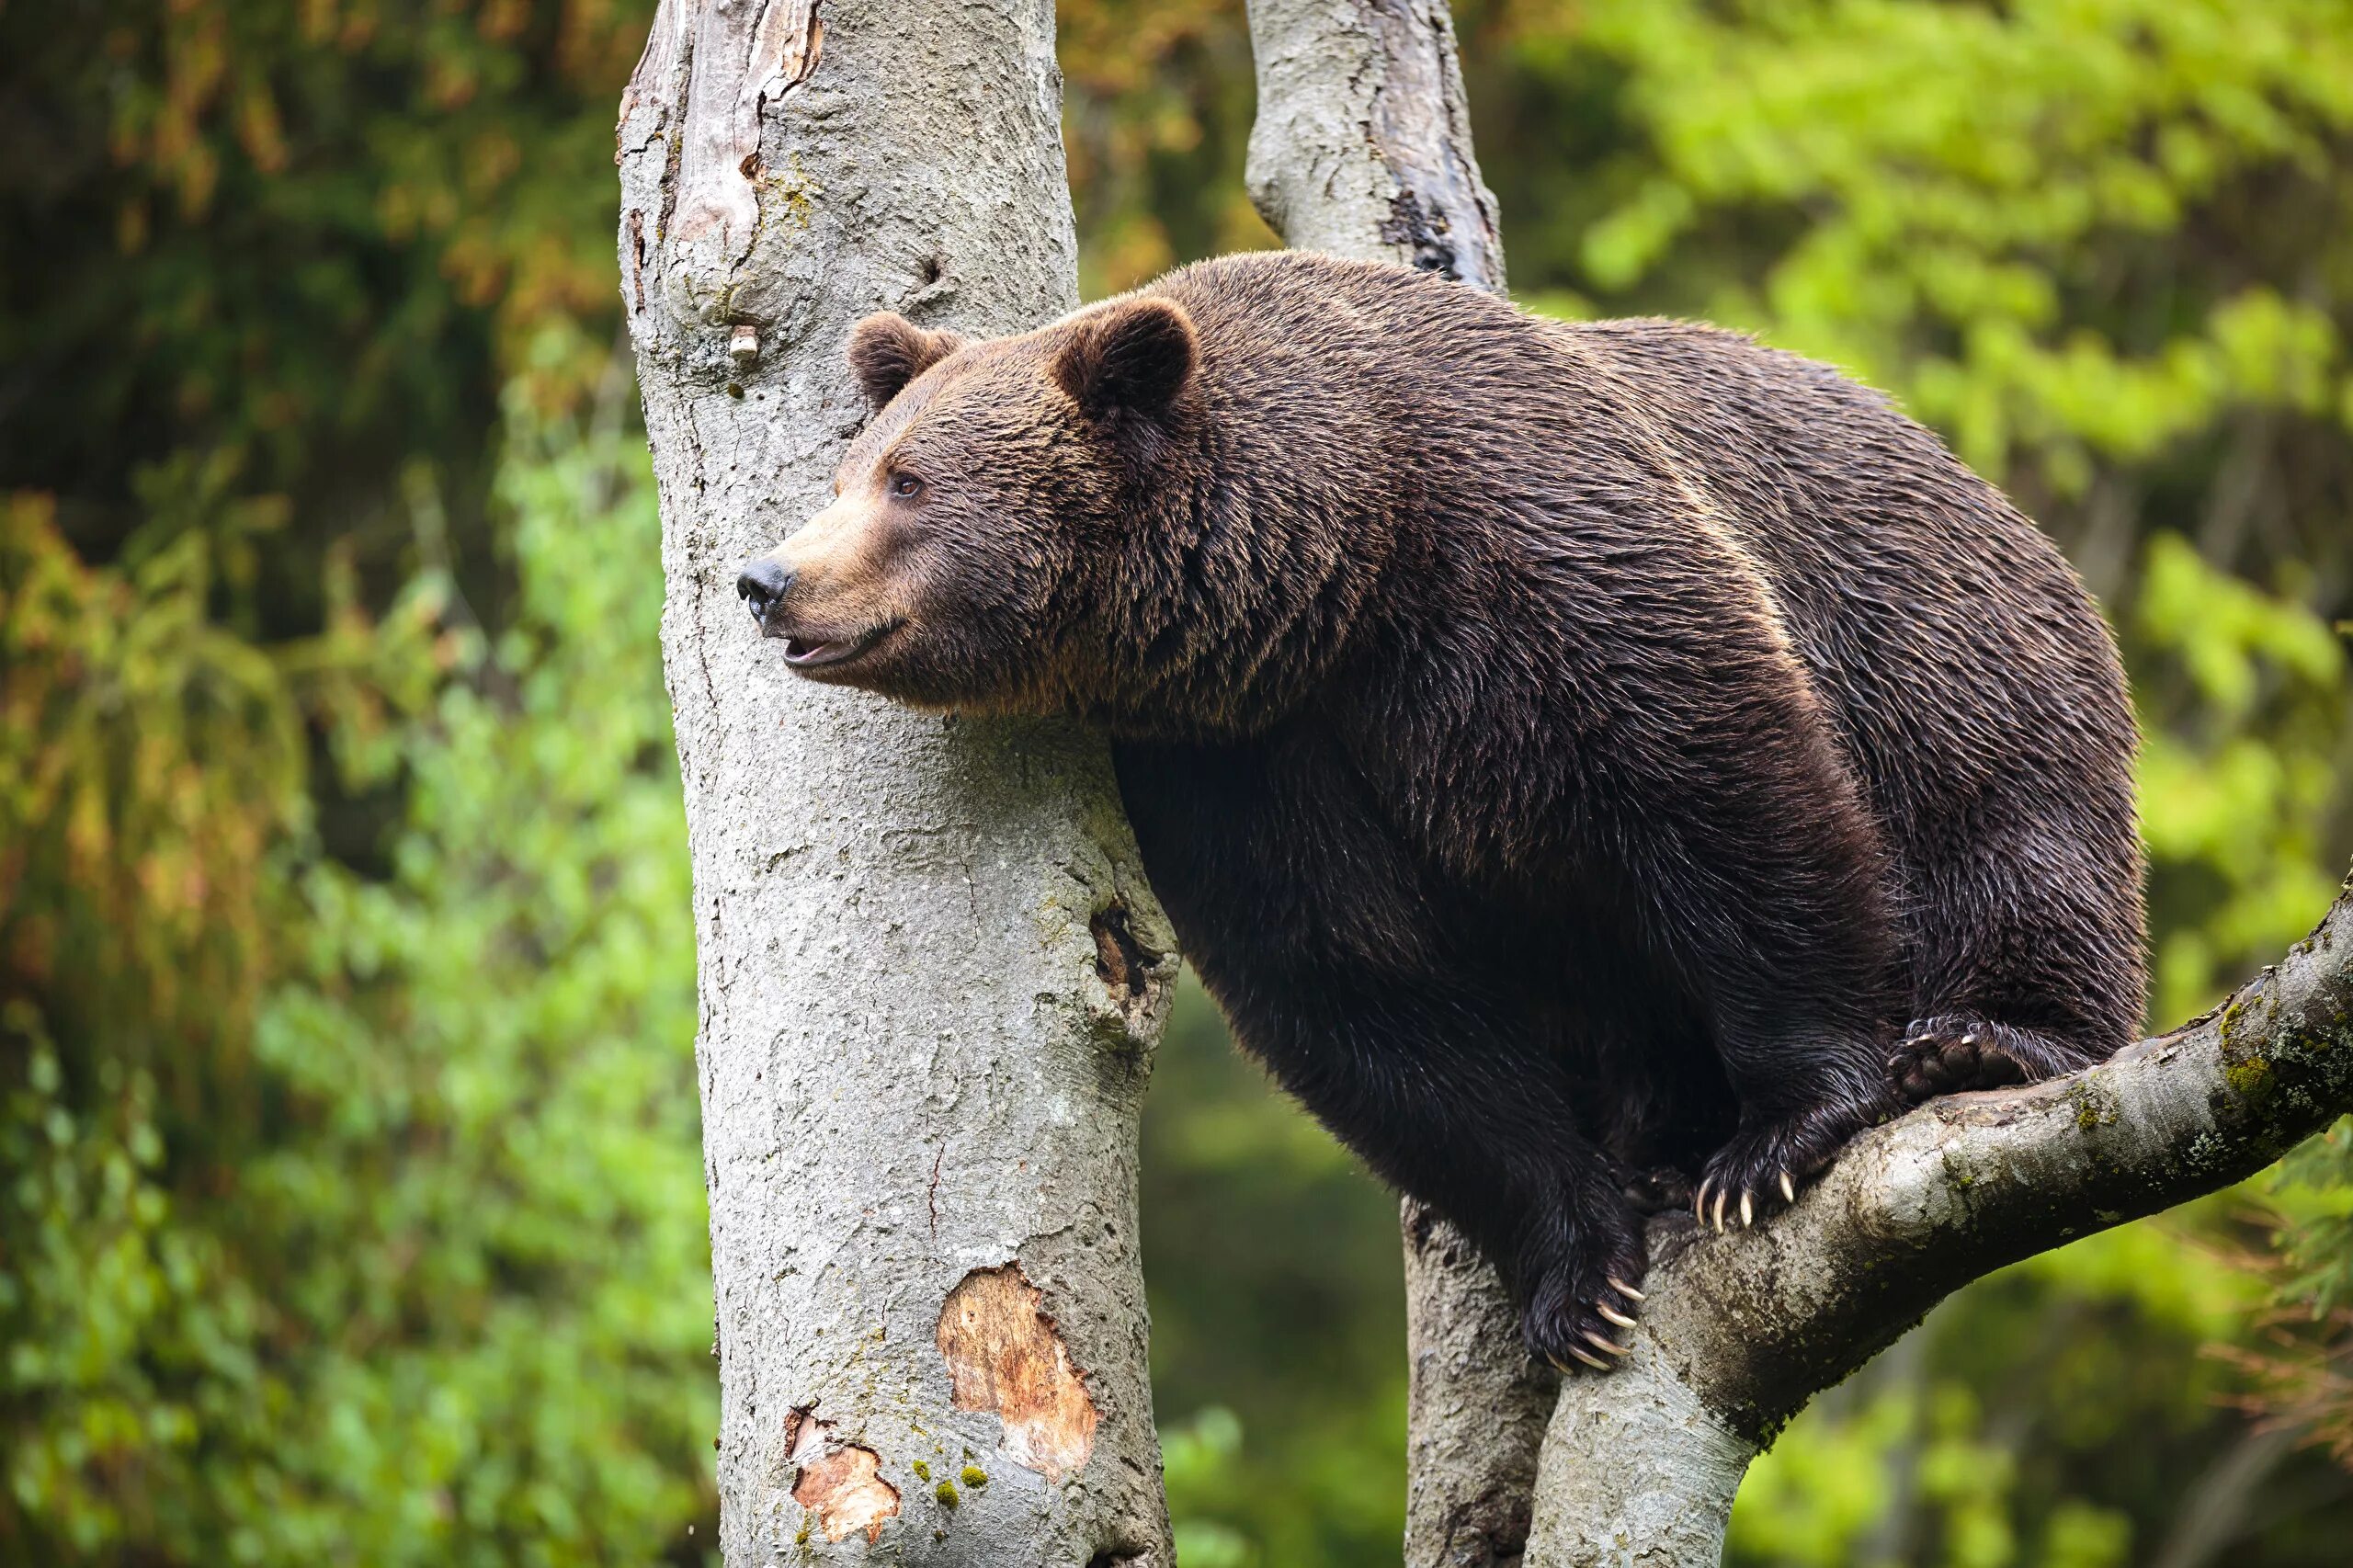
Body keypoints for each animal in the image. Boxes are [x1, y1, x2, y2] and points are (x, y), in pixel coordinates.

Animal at [733, 253, 2154, 1365]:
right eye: (856, 467)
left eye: (908, 481)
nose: (767, 577)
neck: (1339, 558)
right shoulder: (1244, 756)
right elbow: (1366, 994)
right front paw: (1579, 1269)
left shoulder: (1541, 568)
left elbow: (1726, 799)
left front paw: (1778, 1136)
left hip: (1943, 639)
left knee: (2007, 828)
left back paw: (1981, 1039)